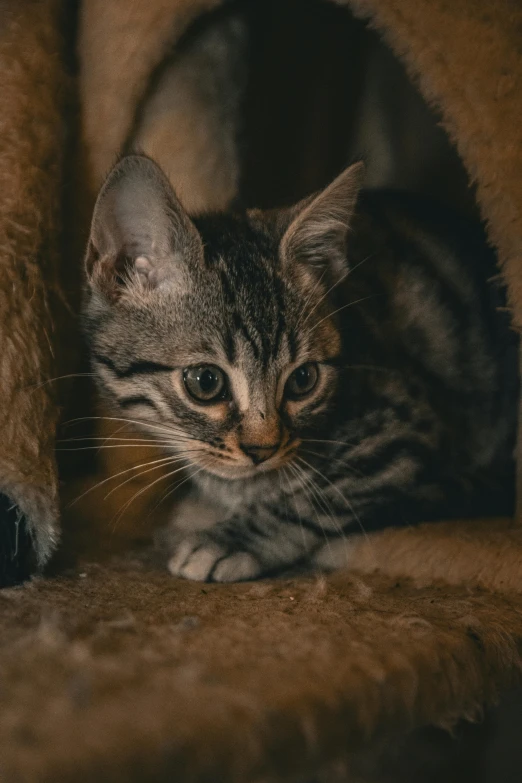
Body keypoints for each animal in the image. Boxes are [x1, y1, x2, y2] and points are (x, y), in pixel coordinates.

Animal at [82, 155, 516, 580]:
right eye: (205, 382)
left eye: (303, 380)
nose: (262, 449)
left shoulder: (406, 428)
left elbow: (316, 498)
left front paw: (231, 539)